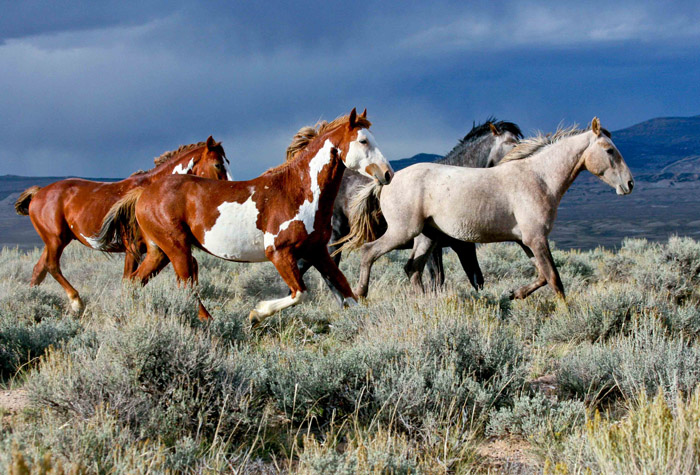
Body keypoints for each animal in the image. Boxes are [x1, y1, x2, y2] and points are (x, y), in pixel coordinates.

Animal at [14, 136, 232, 314]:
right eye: (218, 165)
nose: (228, 189)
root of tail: (39, 192)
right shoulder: (134, 249)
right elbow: (130, 279)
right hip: (55, 239)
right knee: (51, 266)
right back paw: (76, 302)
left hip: (56, 240)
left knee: (39, 269)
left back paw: (30, 301)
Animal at [96, 108, 394, 326]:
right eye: (363, 141)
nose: (388, 173)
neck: (297, 192)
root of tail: (144, 192)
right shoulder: (280, 253)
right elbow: (299, 293)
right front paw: (256, 313)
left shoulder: (317, 251)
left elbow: (345, 290)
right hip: (177, 248)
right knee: (187, 285)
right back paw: (209, 322)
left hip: (159, 251)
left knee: (134, 282)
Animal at [344, 117, 636, 300]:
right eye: (609, 150)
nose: (629, 184)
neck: (538, 177)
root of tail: (386, 180)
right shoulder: (535, 239)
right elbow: (554, 279)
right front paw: (566, 313)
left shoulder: (526, 241)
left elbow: (542, 276)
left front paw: (515, 294)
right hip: (403, 232)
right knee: (369, 252)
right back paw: (360, 295)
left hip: (426, 237)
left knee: (412, 269)